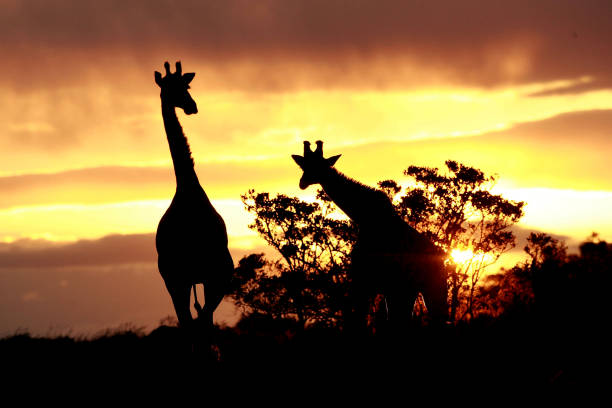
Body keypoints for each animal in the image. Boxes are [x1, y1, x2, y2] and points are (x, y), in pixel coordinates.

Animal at [155, 59, 234, 334]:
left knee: (201, 321)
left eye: (186, 85)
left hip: (205, 278)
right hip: (180, 280)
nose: (192, 106)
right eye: (170, 88)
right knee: (192, 322)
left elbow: (203, 322)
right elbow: (194, 324)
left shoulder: (215, 275)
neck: (187, 189)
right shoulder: (177, 279)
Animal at [292, 142, 444, 334]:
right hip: (406, 291)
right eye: (303, 165)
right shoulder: (374, 284)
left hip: (428, 289)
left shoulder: (364, 281)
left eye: (320, 165)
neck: (364, 217)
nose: (302, 183)